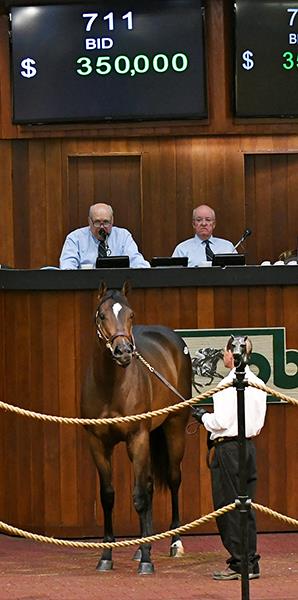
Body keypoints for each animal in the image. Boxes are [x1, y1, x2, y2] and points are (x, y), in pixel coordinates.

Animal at [82, 284, 191, 576]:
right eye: (102, 316)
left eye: (131, 315)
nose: (123, 352)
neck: (110, 386)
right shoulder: (97, 444)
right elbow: (108, 496)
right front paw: (106, 556)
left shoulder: (137, 438)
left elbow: (140, 496)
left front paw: (147, 561)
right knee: (151, 485)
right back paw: (144, 544)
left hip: (174, 428)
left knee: (173, 480)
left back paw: (174, 543)